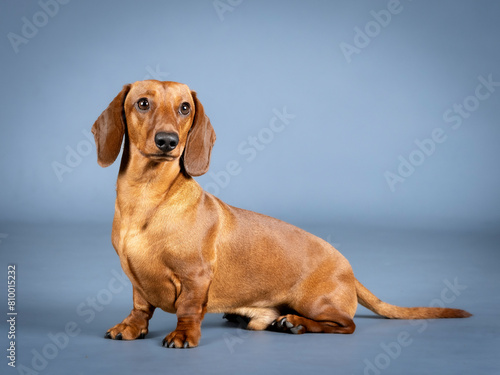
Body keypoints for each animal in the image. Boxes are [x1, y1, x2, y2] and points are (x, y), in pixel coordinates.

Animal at [92, 80, 470, 350]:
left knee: (346, 325)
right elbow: (141, 306)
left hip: (315, 302)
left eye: (185, 108)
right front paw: (131, 326)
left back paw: (296, 323)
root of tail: (349, 270)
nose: (168, 141)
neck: (147, 198)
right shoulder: (137, 280)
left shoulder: (195, 277)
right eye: (143, 102)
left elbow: (187, 308)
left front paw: (184, 334)